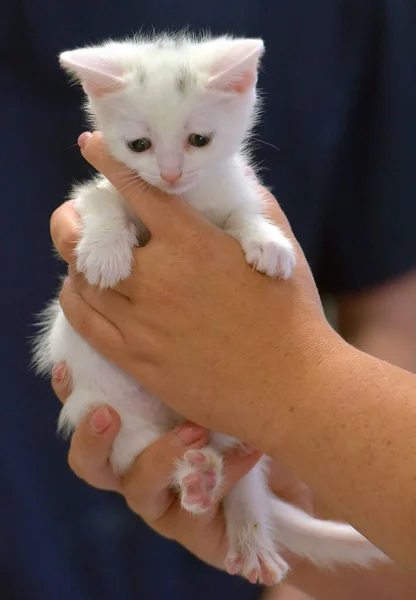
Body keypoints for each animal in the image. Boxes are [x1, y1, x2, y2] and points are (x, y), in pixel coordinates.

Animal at [34, 34, 388, 584]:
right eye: (139, 146)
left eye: (198, 140)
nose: (171, 173)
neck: (185, 200)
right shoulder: (105, 187)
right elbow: (103, 202)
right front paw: (105, 250)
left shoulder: (235, 186)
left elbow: (244, 211)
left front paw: (267, 241)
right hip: (106, 410)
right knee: (140, 449)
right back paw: (195, 480)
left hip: (245, 420)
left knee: (243, 481)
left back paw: (245, 530)